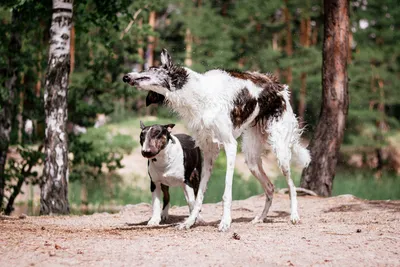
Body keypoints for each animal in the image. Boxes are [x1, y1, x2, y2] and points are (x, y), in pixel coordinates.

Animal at [123, 48, 310, 232]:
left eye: (151, 68)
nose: (126, 77)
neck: (199, 95)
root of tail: (279, 86)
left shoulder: (230, 145)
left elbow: (226, 192)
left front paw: (225, 222)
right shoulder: (208, 151)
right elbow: (198, 196)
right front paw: (190, 222)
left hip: (281, 153)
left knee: (292, 186)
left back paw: (294, 216)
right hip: (251, 159)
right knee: (270, 187)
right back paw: (260, 218)